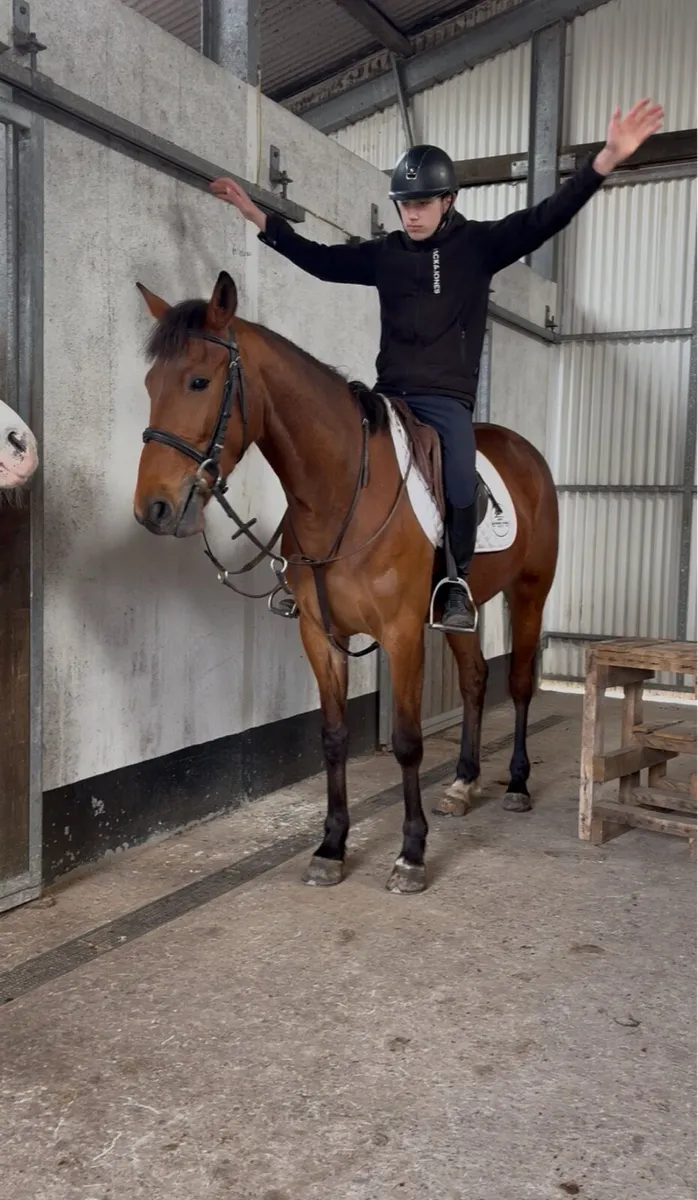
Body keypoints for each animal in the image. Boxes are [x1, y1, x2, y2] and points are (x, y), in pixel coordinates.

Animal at [133, 271, 559, 894]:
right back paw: (463, 784)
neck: (342, 494)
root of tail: (527, 454)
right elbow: (332, 739)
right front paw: (331, 847)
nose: (154, 509)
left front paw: (411, 854)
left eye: (198, 381)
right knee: (477, 680)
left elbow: (406, 742)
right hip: (461, 610)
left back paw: (519, 784)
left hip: (530, 591)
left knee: (522, 683)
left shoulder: (403, 634)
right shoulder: (320, 633)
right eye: (149, 383)